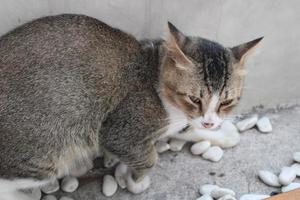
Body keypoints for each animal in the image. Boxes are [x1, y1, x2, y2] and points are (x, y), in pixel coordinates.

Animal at [0, 13, 262, 198]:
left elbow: (187, 131)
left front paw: (222, 133)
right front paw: (137, 181)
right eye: (194, 99)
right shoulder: (121, 130)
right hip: (47, 150)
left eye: (226, 102)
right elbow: (148, 157)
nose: (209, 122)